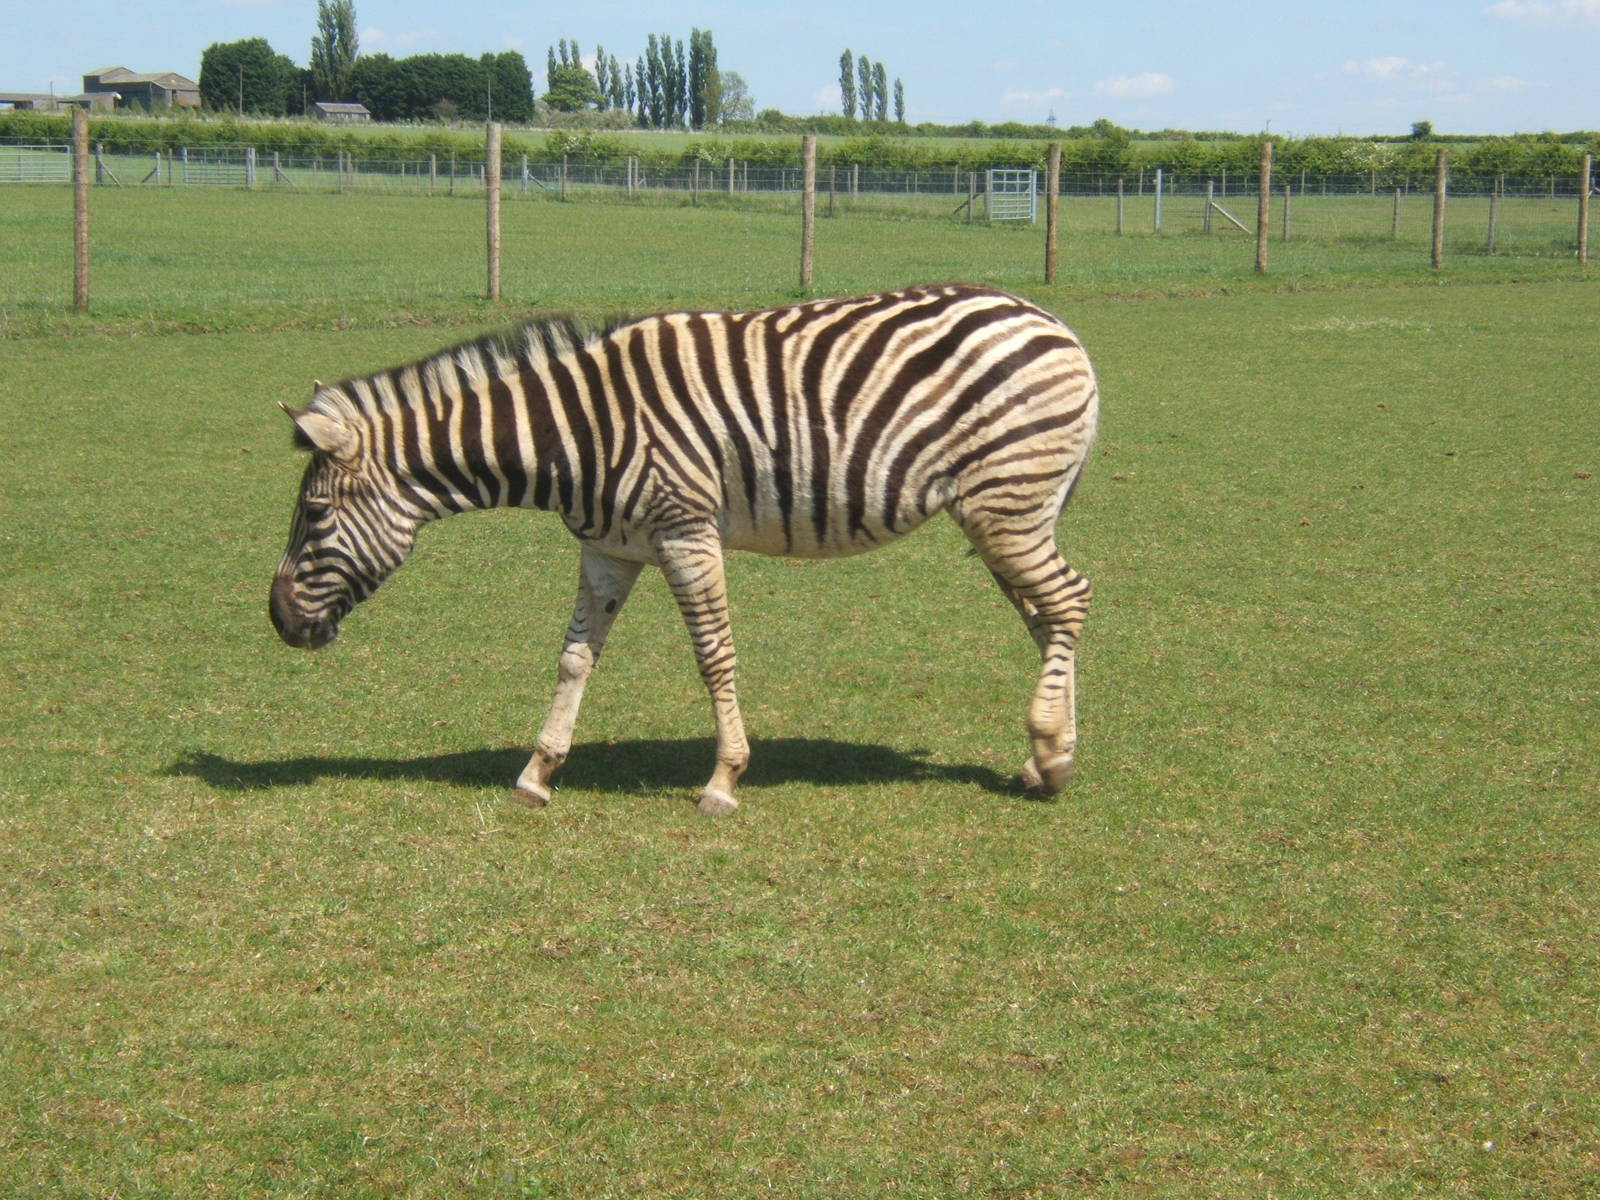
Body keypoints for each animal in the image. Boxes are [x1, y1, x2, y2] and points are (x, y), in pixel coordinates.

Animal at [270, 283, 1099, 815]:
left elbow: (713, 656)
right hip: (1003, 511)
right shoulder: (609, 550)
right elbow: (575, 657)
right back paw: (1047, 758)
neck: (579, 433)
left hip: (1005, 503)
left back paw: (1054, 756)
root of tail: (1052, 321)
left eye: (313, 512)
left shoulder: (686, 533)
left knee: (1069, 600)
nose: (277, 620)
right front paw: (539, 771)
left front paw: (724, 780)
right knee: (1048, 616)